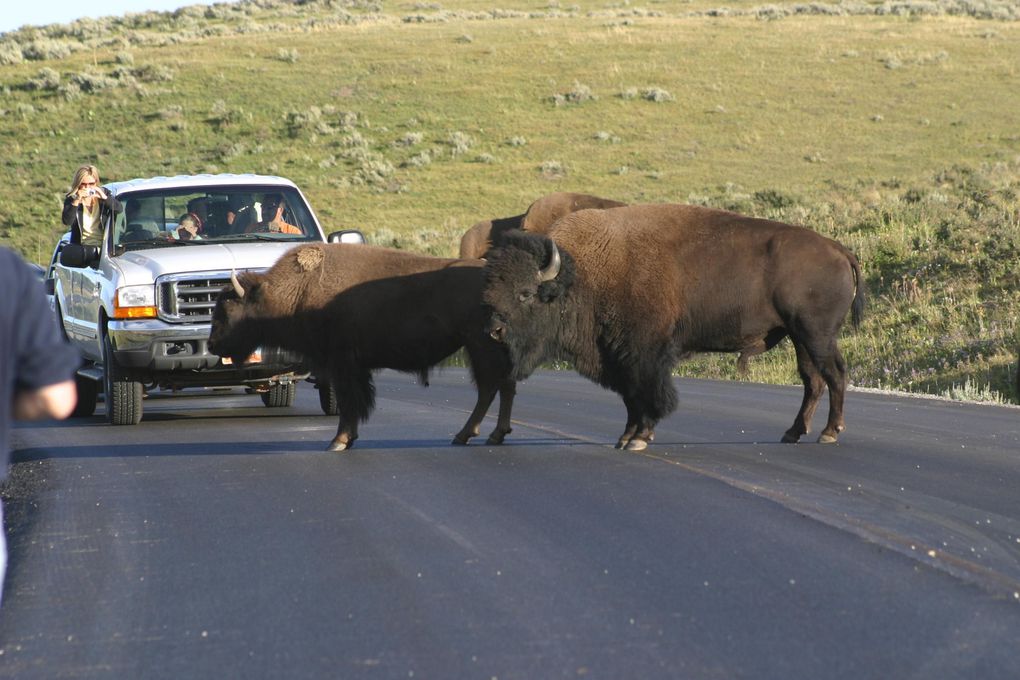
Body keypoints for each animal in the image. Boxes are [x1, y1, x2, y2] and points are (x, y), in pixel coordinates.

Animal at [213, 244, 518, 452]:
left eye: (228, 309)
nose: (215, 344)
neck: (298, 290)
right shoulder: (351, 367)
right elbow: (355, 402)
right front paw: (347, 439)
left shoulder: (342, 364)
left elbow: (350, 403)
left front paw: (338, 441)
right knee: (504, 386)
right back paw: (493, 434)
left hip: (480, 345)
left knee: (490, 388)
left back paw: (466, 435)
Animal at [481, 204, 864, 448]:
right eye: (493, 289)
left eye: (526, 293)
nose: (495, 331)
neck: (583, 272)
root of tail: (839, 250)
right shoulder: (616, 353)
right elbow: (630, 397)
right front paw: (626, 437)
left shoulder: (642, 352)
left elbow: (647, 391)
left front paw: (639, 438)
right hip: (800, 337)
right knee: (813, 380)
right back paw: (793, 432)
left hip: (816, 334)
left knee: (834, 374)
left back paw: (829, 432)